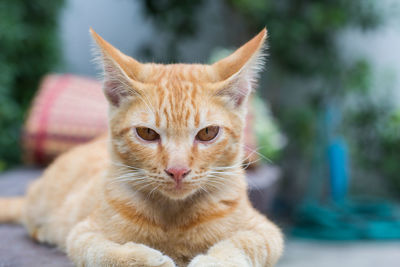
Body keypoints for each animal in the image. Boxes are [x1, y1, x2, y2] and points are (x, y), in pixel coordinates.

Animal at [0, 28, 282, 266]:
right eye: (147, 133)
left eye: (207, 133)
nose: (177, 170)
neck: (173, 216)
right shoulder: (83, 233)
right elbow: (101, 252)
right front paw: (147, 259)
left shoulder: (266, 232)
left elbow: (242, 244)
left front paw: (210, 261)